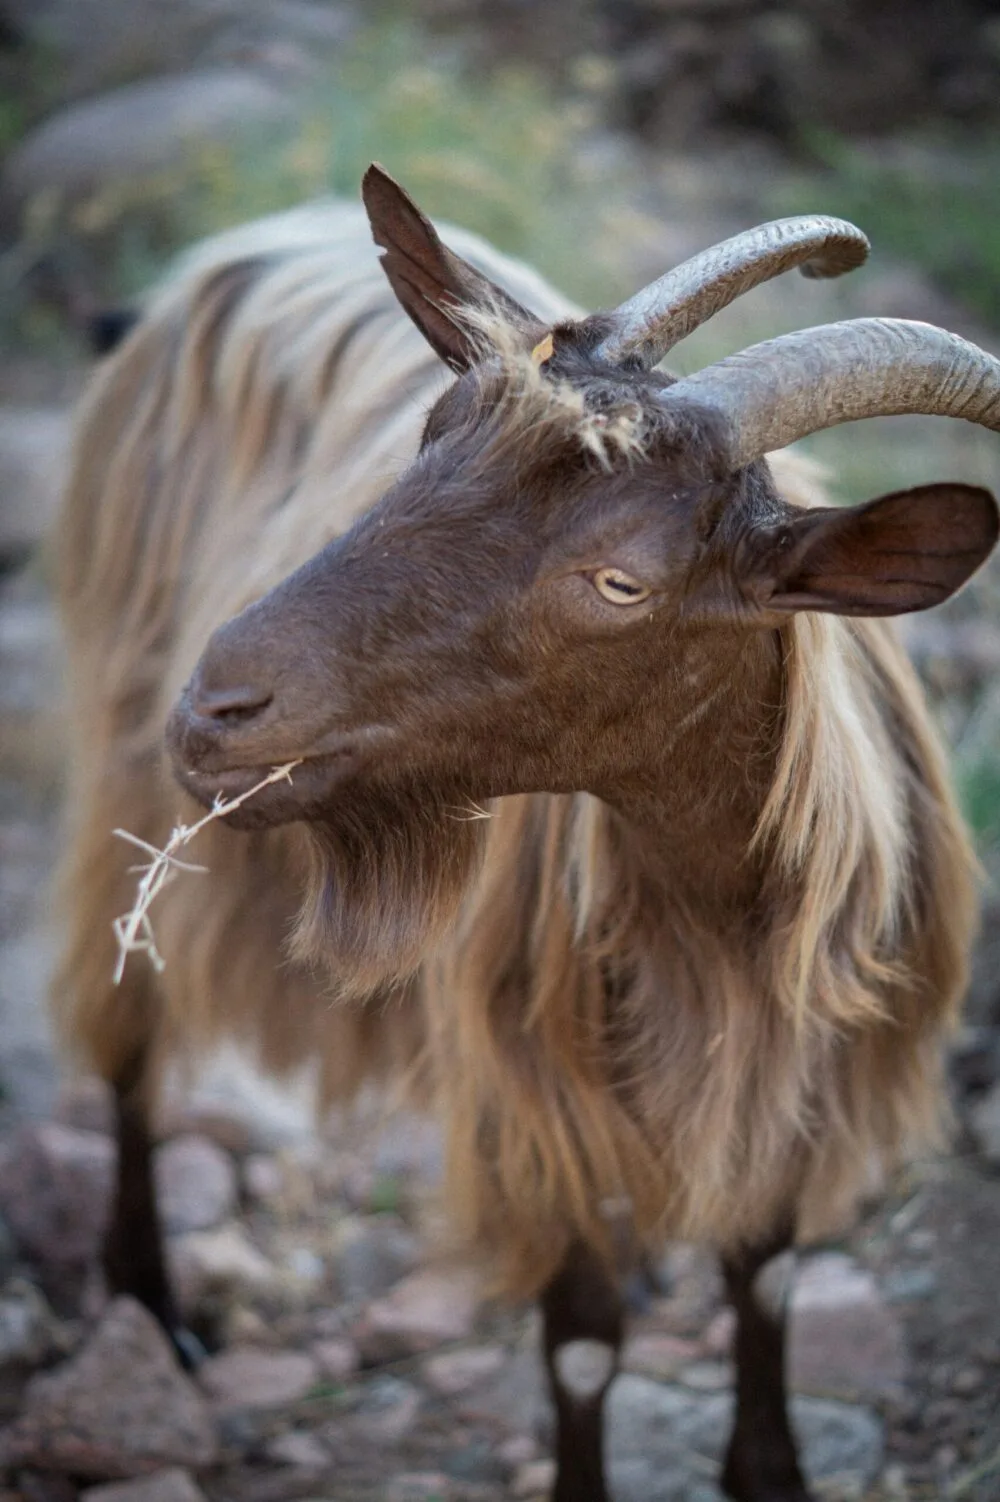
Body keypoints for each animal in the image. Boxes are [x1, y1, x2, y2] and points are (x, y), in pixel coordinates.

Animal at [55, 167, 1000, 1502]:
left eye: (621, 580)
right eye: (427, 438)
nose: (216, 707)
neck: (711, 918)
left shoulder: (789, 1061)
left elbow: (764, 1267)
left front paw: (769, 1469)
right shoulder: (533, 1087)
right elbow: (581, 1343)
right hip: (120, 771)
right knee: (128, 1031)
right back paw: (152, 1303)